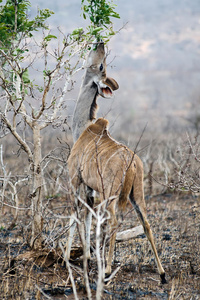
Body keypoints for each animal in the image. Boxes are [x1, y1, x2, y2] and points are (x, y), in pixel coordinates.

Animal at [66, 41, 166, 284]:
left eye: (101, 65)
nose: (100, 43)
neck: (83, 127)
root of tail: (132, 163)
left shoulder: (75, 179)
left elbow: (74, 216)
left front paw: (67, 258)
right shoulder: (91, 189)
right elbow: (88, 218)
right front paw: (88, 258)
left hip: (112, 193)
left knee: (113, 221)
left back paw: (108, 269)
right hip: (137, 193)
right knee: (146, 223)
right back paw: (162, 274)